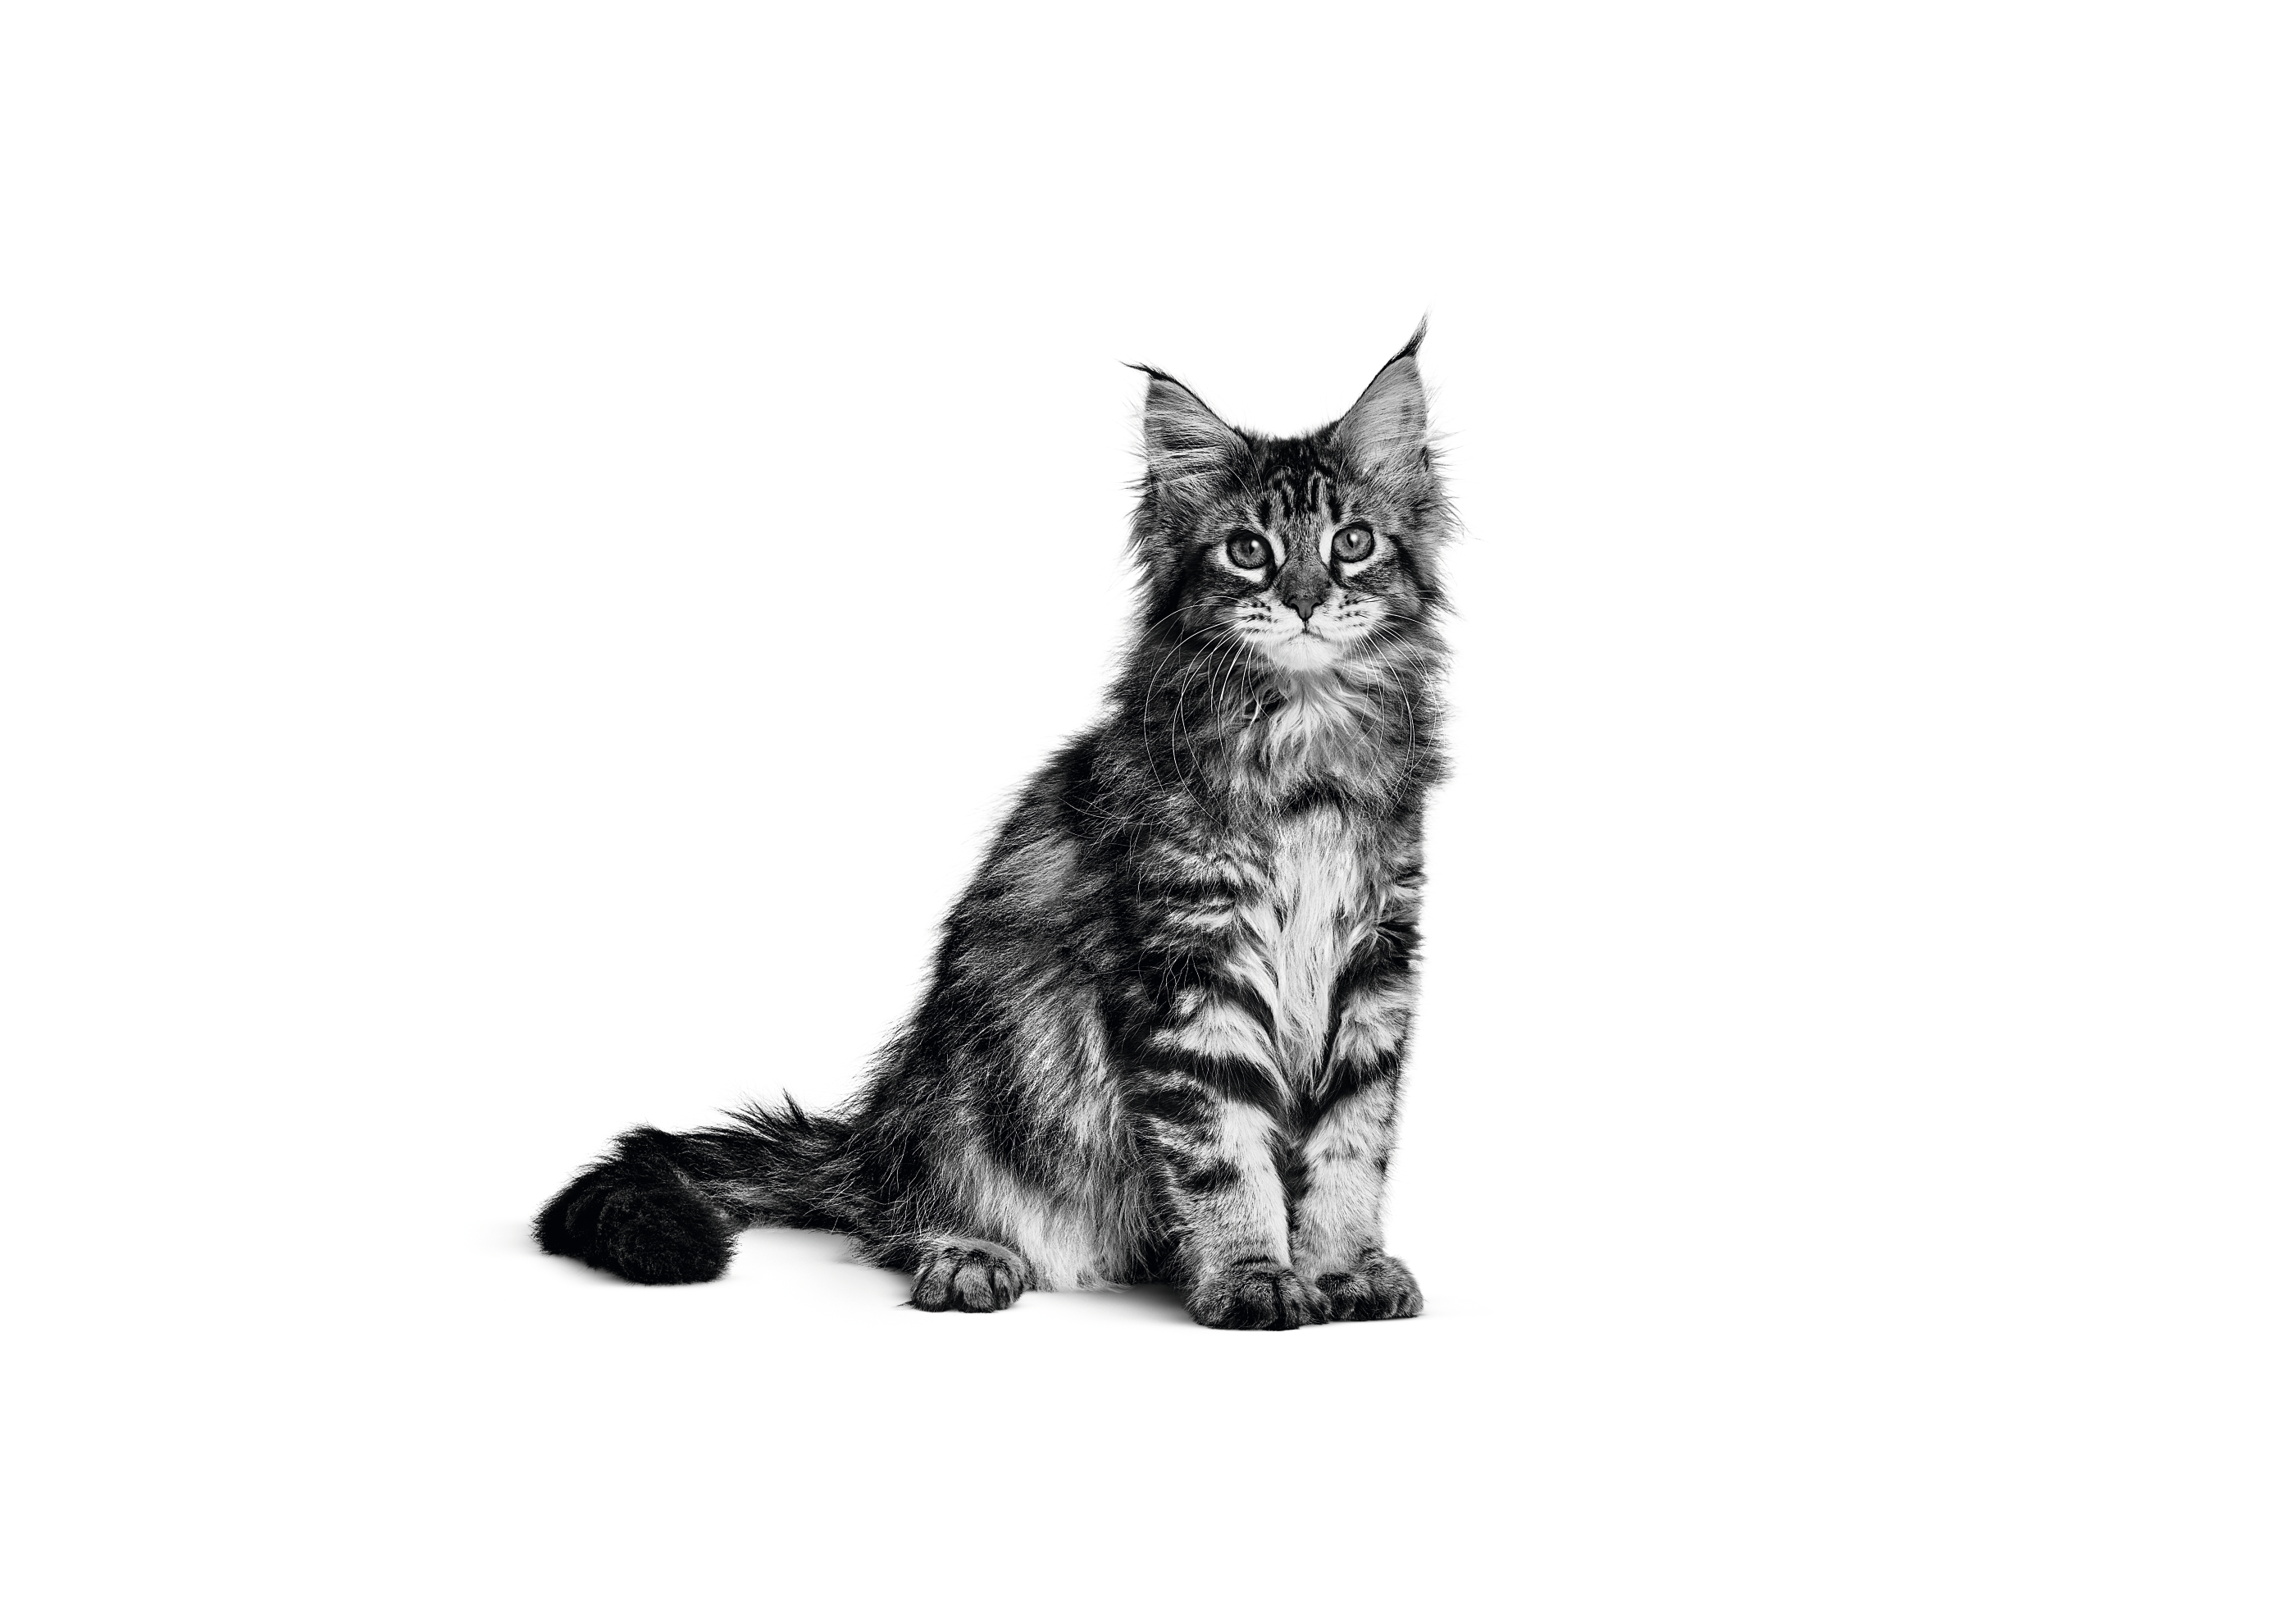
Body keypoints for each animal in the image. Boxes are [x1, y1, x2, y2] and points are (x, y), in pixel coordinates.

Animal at [532, 323, 1451, 1332]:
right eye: (1248, 550)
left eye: (1352, 543)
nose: (1304, 598)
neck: (1306, 742)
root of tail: (870, 1138)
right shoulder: (1188, 965)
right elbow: (1222, 1153)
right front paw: (1252, 1274)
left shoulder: (1376, 962)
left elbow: (1352, 1143)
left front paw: (1344, 1268)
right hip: (978, 1083)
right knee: (906, 1217)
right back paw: (970, 1257)